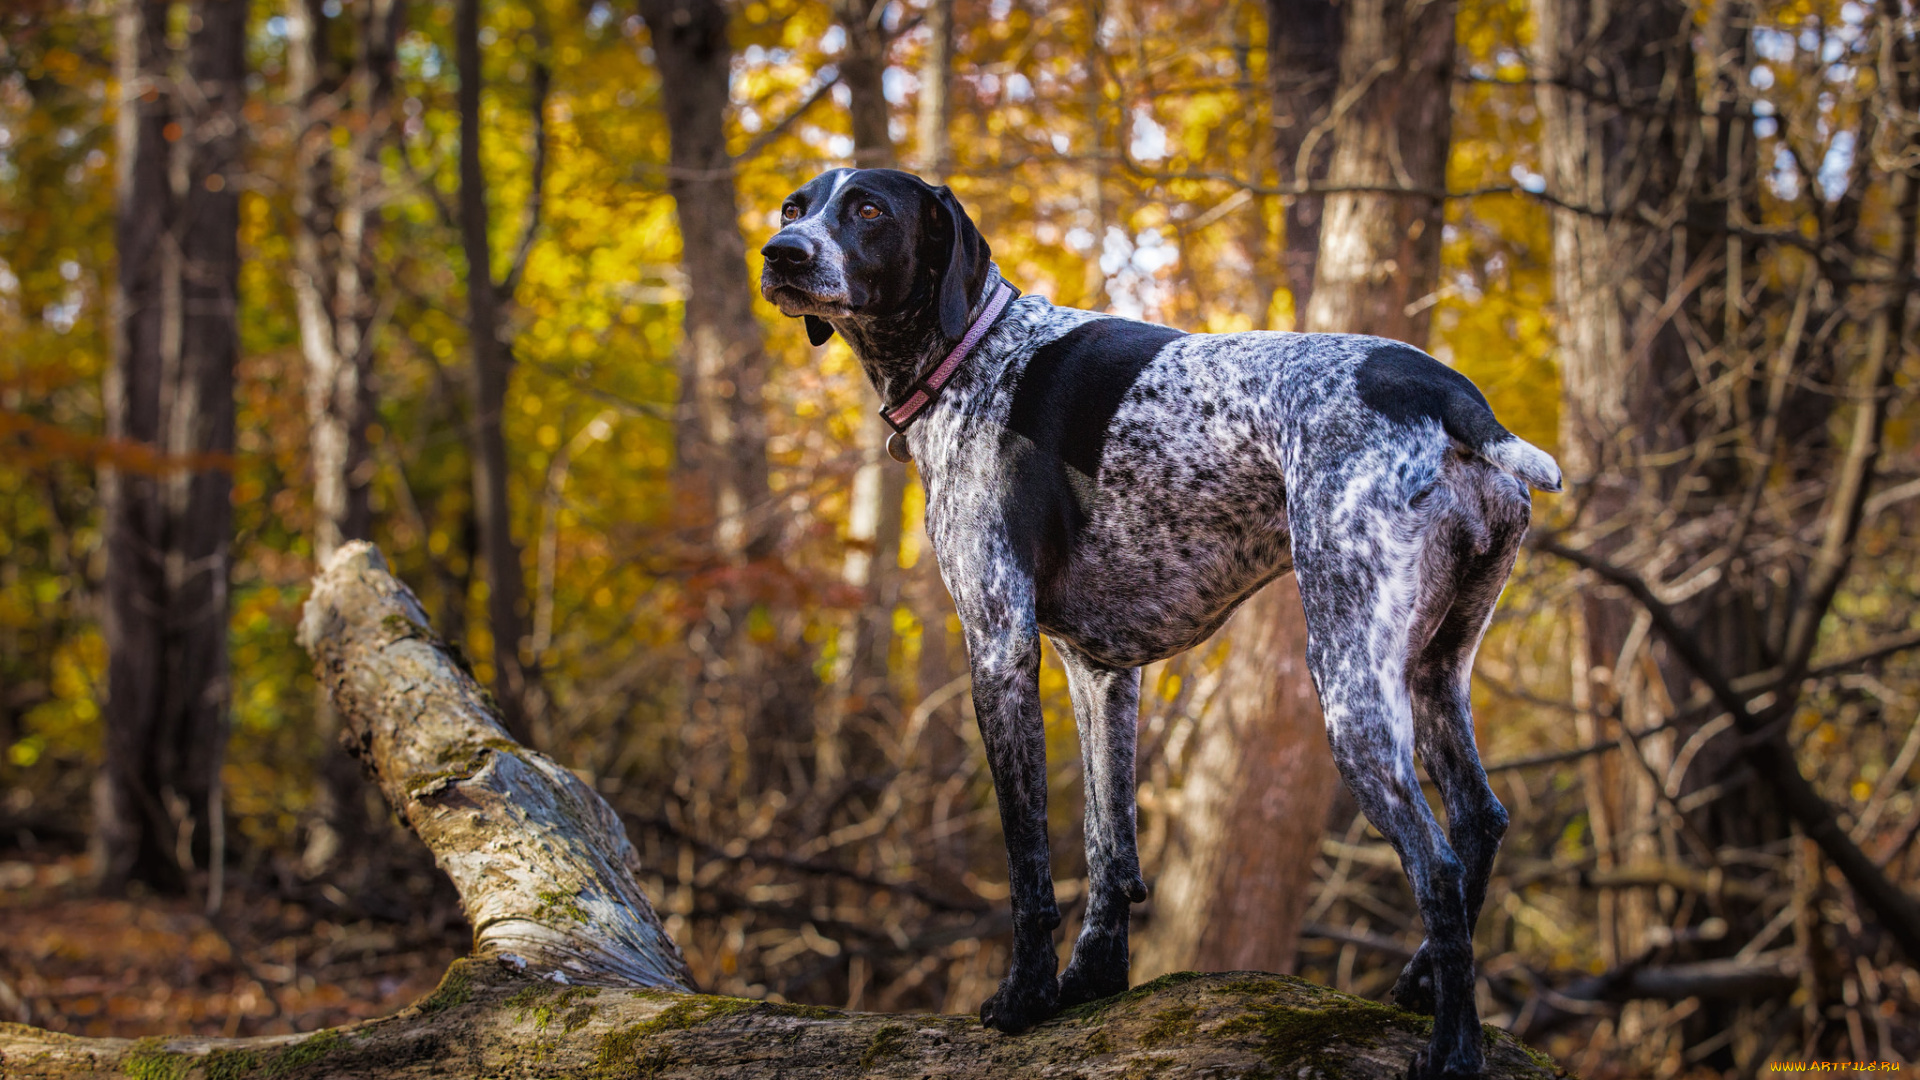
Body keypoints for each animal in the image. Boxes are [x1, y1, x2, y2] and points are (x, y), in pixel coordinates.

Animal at [756, 168, 1551, 1076]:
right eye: (794, 207)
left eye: (869, 211)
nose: (780, 253)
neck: (975, 353)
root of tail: (1454, 395)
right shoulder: (1100, 671)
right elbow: (1109, 847)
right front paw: (1092, 980)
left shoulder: (998, 646)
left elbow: (1029, 861)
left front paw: (1025, 997)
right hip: (1432, 670)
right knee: (1480, 821)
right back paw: (1423, 984)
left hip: (1350, 690)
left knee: (1438, 865)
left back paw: (1454, 1048)